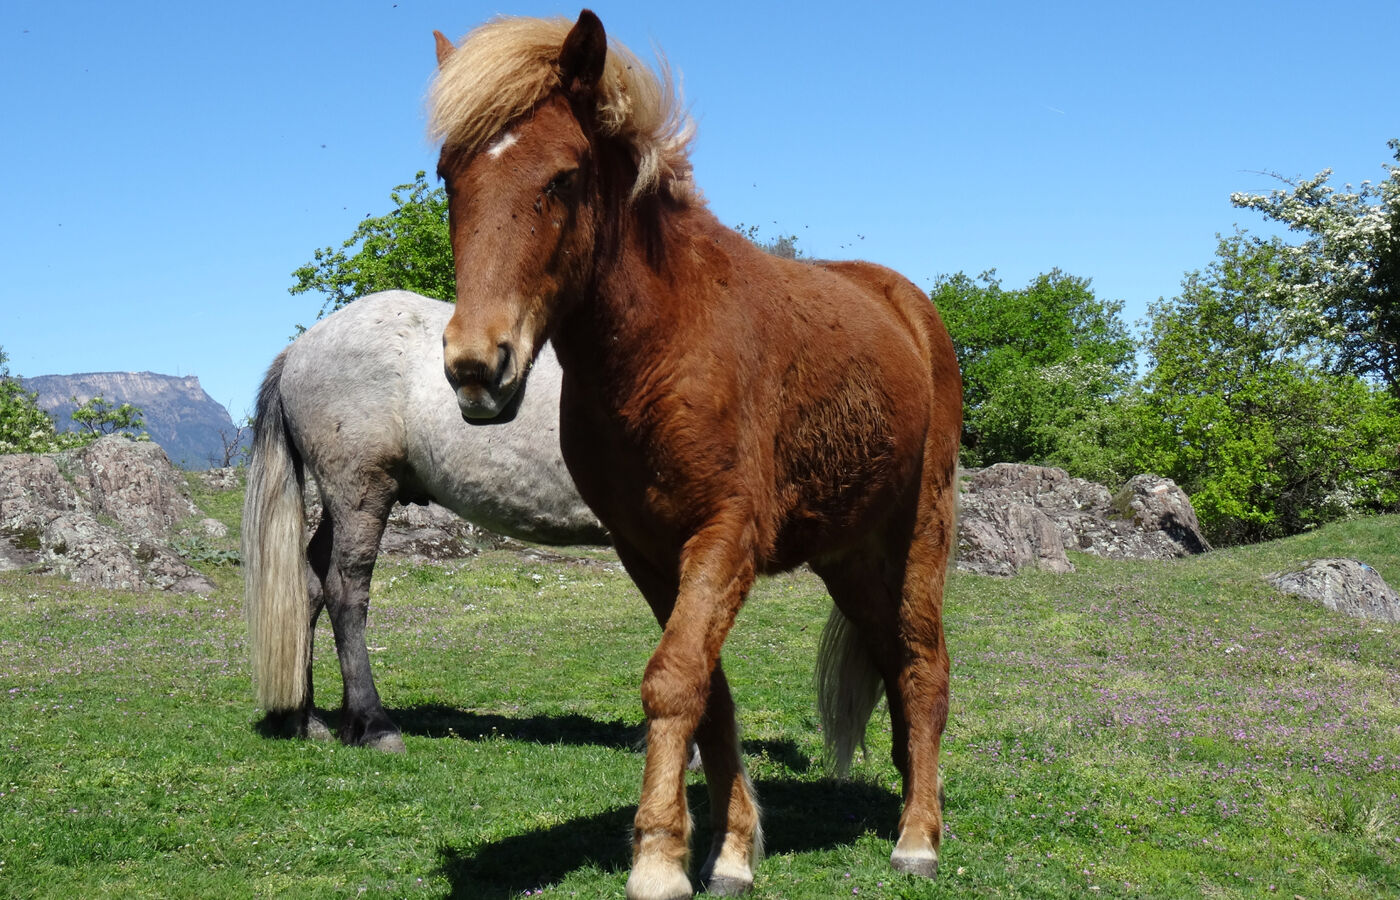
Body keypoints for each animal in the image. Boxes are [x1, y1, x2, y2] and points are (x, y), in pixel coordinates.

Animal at [246, 292, 607, 750]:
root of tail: (298, 349)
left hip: (339, 503)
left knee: (310, 585)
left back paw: (304, 720)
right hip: (361, 493)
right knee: (345, 593)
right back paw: (375, 725)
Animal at [428, 10, 963, 895]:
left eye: (564, 177)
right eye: (448, 177)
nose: (476, 366)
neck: (665, 345)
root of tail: (908, 306)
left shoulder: (723, 538)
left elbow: (674, 680)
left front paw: (657, 860)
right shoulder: (648, 552)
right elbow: (707, 692)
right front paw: (732, 852)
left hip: (919, 535)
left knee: (923, 666)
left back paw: (918, 836)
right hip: (850, 558)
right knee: (891, 661)